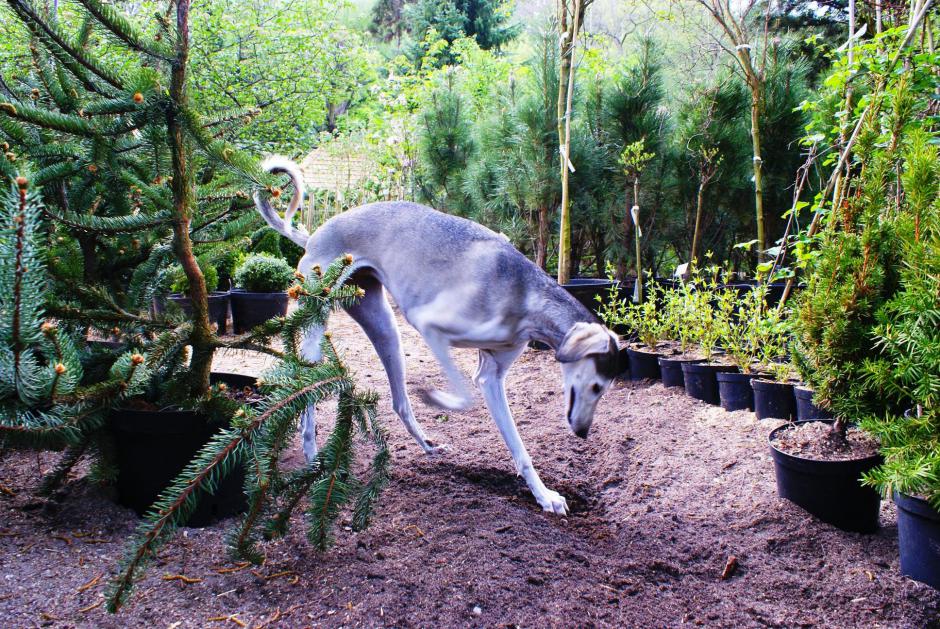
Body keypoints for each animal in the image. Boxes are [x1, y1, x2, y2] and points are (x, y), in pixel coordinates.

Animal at [253, 155, 620, 512]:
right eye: (596, 386)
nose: (583, 433)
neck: (525, 292)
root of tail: (312, 237)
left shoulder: (492, 376)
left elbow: (519, 448)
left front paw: (544, 496)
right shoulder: (430, 327)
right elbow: (464, 395)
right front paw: (437, 398)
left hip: (385, 329)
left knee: (400, 402)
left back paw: (426, 445)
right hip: (318, 327)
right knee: (305, 389)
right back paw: (314, 459)